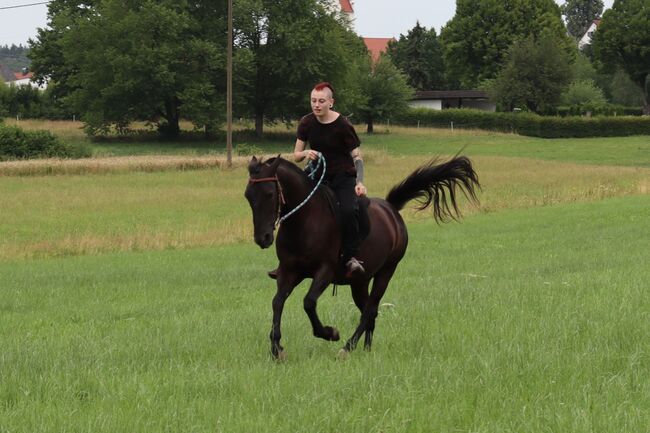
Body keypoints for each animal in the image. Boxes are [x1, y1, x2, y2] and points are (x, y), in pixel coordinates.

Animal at [243, 153, 476, 358]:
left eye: (269, 194)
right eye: (248, 196)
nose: (262, 238)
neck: (304, 221)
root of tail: (391, 209)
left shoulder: (324, 272)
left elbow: (308, 302)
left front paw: (330, 333)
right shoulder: (289, 272)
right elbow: (277, 302)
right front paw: (277, 349)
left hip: (386, 272)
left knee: (370, 310)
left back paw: (347, 348)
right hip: (359, 281)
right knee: (369, 311)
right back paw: (366, 349)